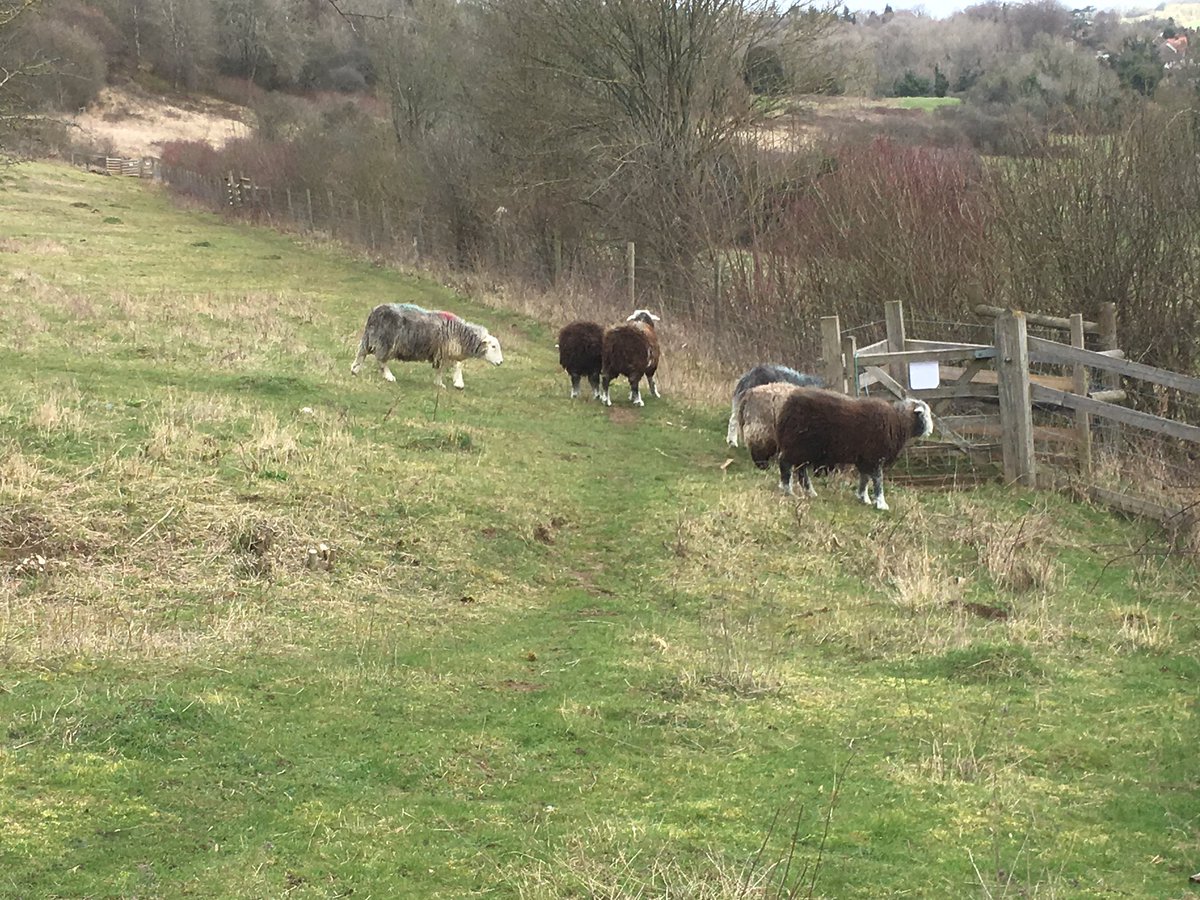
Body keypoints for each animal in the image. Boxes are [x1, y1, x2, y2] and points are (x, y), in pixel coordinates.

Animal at [350, 303, 503, 389]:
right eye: (493, 346)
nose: (501, 362)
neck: (461, 333)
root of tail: (375, 312)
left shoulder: (449, 352)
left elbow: (457, 365)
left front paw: (458, 383)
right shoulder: (443, 352)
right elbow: (442, 369)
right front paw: (440, 384)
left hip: (369, 339)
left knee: (361, 353)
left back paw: (354, 369)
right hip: (385, 342)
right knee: (381, 360)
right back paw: (389, 376)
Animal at [775, 389, 933, 511]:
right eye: (924, 415)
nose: (931, 431)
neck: (899, 422)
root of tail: (787, 406)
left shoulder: (866, 459)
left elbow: (865, 479)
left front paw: (863, 498)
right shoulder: (875, 457)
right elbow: (878, 480)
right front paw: (881, 504)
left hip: (806, 450)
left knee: (801, 470)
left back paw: (810, 492)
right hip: (798, 445)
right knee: (785, 463)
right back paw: (787, 489)